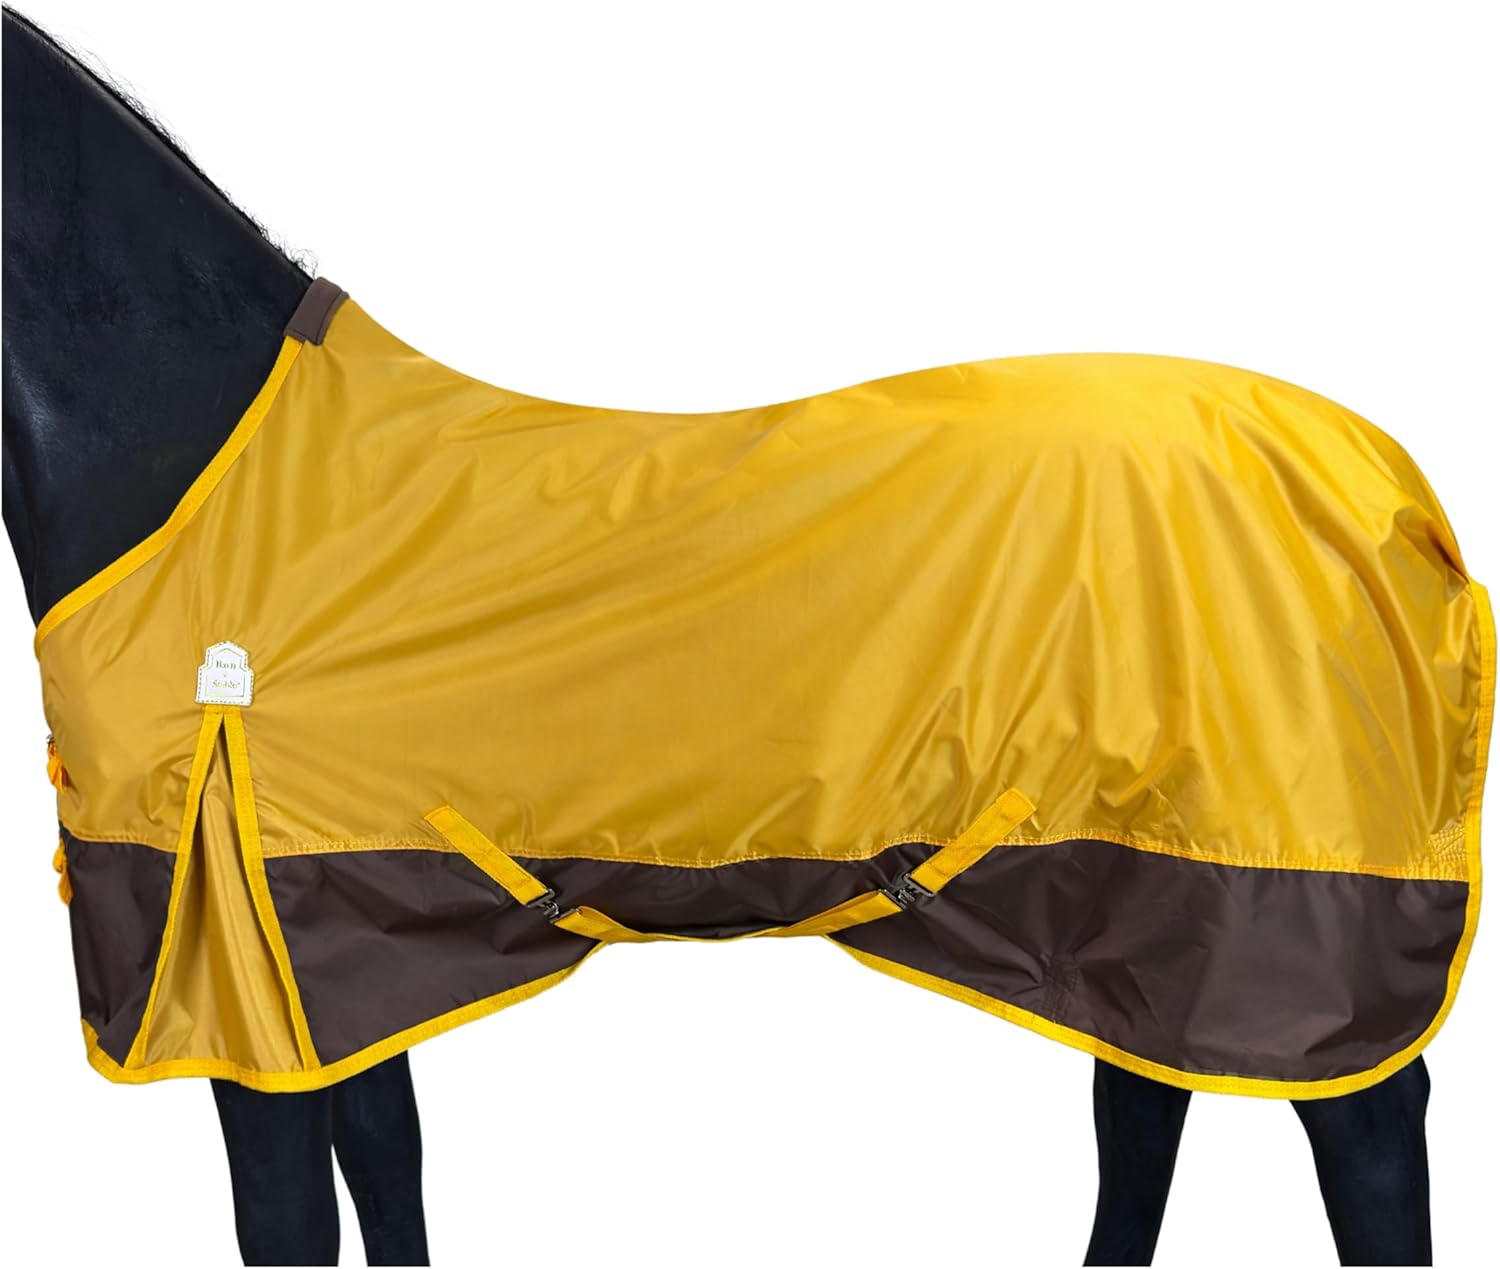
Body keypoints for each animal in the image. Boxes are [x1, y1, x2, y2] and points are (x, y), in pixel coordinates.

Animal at [3, 8, 1468, 1265]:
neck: (187, 471)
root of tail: (1386, 483)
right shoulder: (335, 963)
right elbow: (390, 1183)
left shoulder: (229, 988)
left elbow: (290, 1220)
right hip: (1148, 898)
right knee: (1147, 1107)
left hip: (1293, 918)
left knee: (1367, 1143)